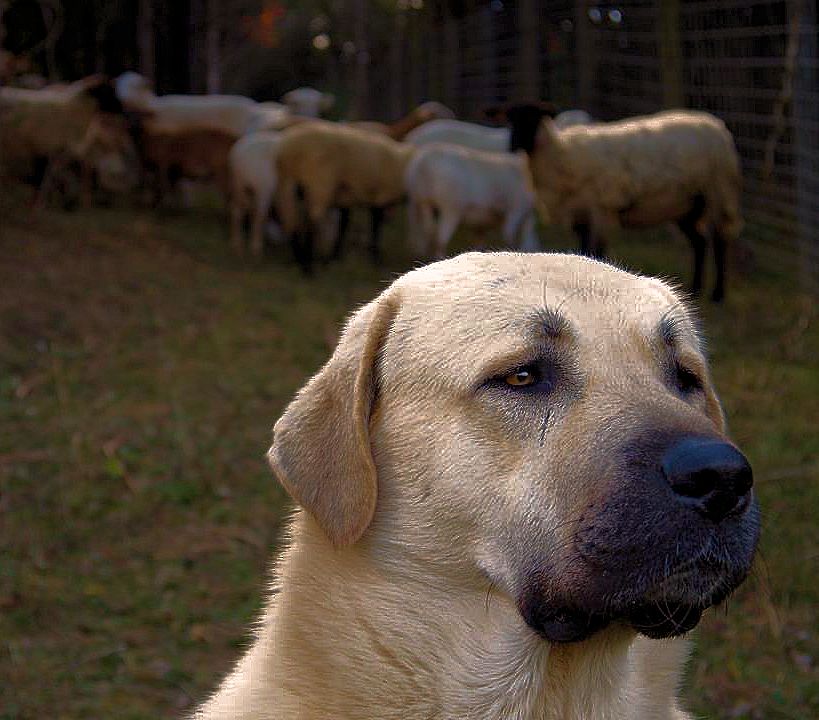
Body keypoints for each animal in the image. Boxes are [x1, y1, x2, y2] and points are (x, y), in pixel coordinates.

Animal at [278, 121, 416, 272]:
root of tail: (291, 147)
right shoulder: (379, 196)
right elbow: (375, 228)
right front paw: (376, 259)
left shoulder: (346, 200)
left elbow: (344, 226)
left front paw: (333, 258)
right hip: (320, 183)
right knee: (311, 221)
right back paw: (308, 267)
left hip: (288, 183)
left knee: (292, 220)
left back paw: (300, 259)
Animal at [406, 143, 544, 258]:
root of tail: (424, 162)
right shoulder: (515, 210)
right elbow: (508, 236)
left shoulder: (481, 224)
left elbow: (480, 242)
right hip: (451, 208)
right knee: (440, 239)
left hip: (424, 202)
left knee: (429, 231)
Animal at [506, 104, 744, 300]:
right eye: (512, 120)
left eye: (533, 119)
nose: (512, 146)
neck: (563, 154)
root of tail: (718, 126)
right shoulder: (580, 212)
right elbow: (583, 249)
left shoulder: (601, 209)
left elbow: (597, 251)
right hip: (687, 204)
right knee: (700, 242)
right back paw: (695, 289)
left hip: (718, 191)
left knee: (720, 241)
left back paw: (718, 294)